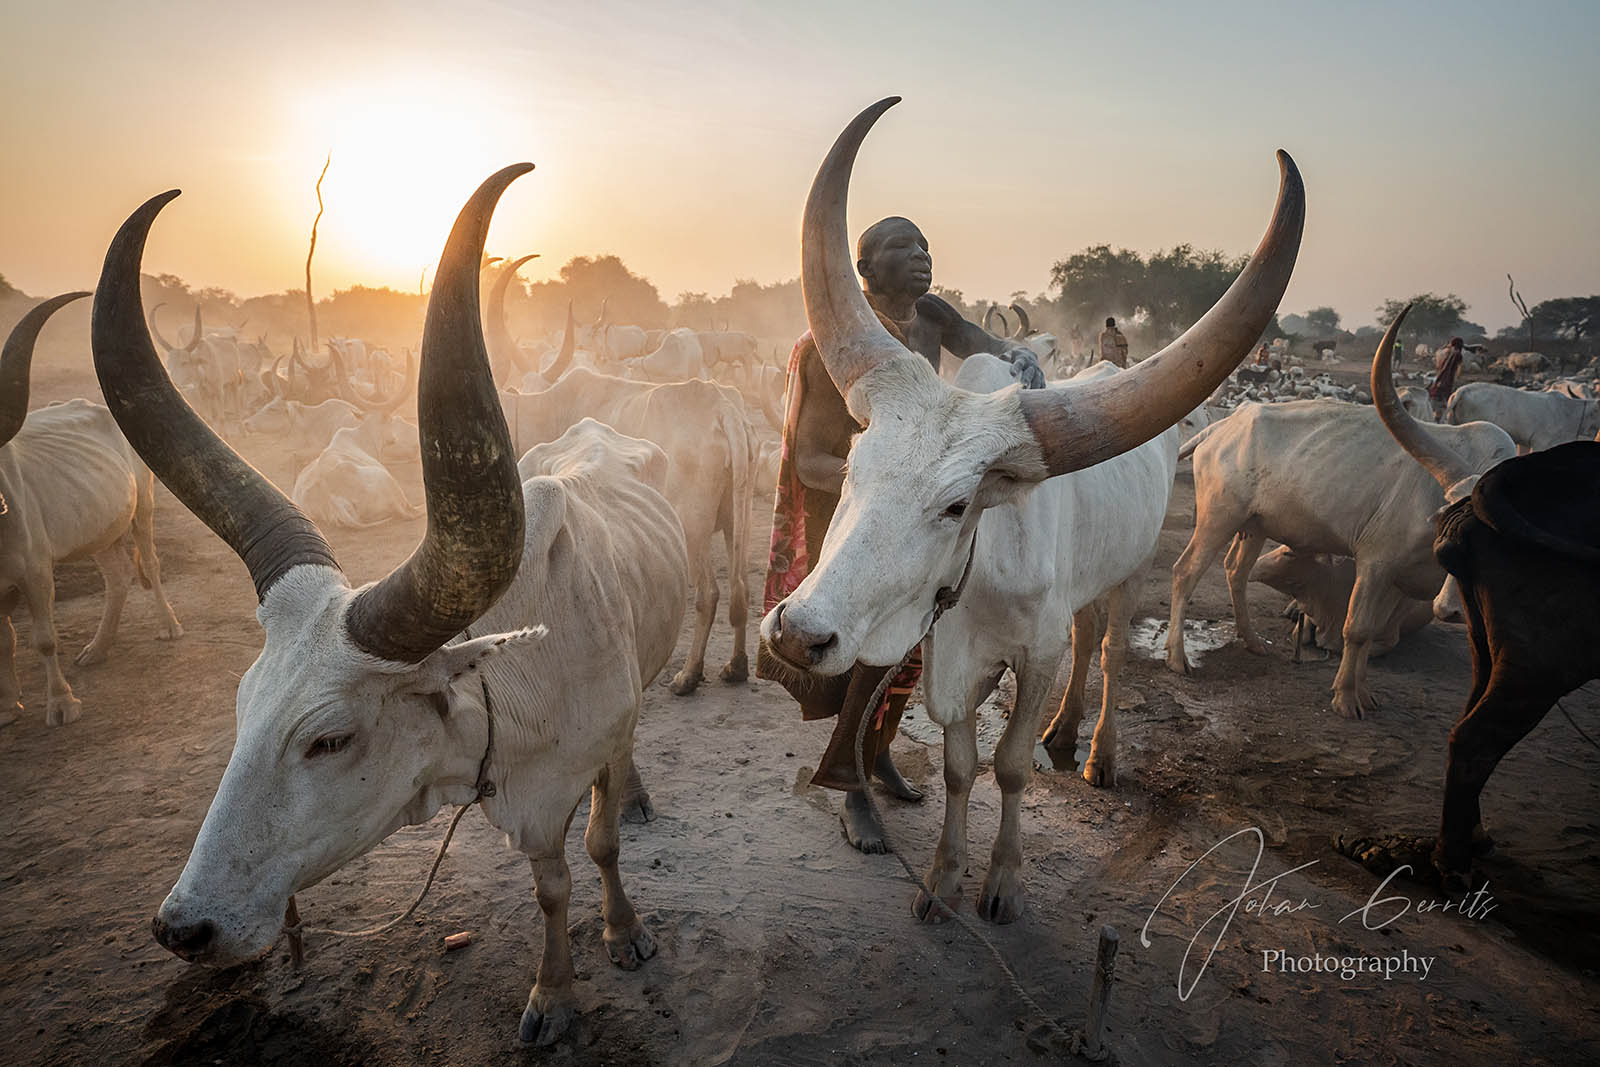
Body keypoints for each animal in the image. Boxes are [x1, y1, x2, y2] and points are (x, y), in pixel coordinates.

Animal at [1, 293, 182, 727]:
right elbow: (6, 641)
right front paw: (8, 705)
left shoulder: (35, 572)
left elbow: (44, 640)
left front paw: (61, 703)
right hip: (101, 529)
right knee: (117, 578)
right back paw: (98, 648)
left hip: (142, 508)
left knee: (150, 564)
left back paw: (168, 625)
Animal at [100, 168, 686, 1048]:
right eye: (240, 706)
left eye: (330, 739)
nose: (183, 927)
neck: (518, 683)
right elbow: (550, 886)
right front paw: (554, 989)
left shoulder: (595, 750)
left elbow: (602, 842)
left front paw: (618, 938)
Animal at [501, 365, 754, 694]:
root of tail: (723, 407)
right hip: (740, 517)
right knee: (741, 587)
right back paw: (737, 666)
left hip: (692, 525)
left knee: (708, 594)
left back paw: (689, 674)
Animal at [760, 98, 1302, 922]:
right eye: (853, 467)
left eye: (958, 505)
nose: (798, 631)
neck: (983, 573)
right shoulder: (948, 652)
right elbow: (960, 765)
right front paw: (944, 878)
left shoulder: (1032, 652)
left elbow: (1009, 765)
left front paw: (1003, 883)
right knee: (1087, 635)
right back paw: (1066, 731)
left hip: (1131, 572)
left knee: (1107, 650)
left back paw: (1098, 752)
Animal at [1167, 324, 1517, 719]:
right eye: (1456, 531)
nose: (1451, 609)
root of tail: (1224, 426)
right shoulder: (1375, 562)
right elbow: (1358, 629)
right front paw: (1347, 698)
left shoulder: (1393, 581)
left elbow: (1372, 633)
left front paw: (1362, 691)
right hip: (1218, 518)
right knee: (1186, 571)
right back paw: (1177, 658)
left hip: (1254, 525)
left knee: (1235, 572)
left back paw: (1253, 641)